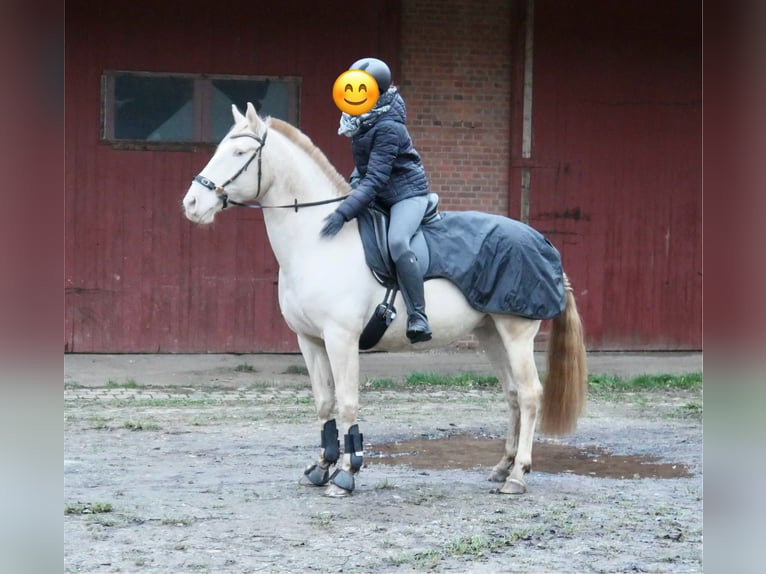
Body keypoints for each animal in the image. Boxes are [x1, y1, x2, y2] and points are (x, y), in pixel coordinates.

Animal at [184, 103, 588, 500]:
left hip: (516, 333)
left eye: (240, 153)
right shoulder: (310, 341)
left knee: (531, 394)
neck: (319, 241)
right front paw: (321, 467)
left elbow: (347, 403)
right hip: (491, 334)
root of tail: (541, 241)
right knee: (513, 394)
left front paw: (346, 474)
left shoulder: (341, 339)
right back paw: (502, 467)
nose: (191, 204)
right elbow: (325, 403)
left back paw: (518, 475)